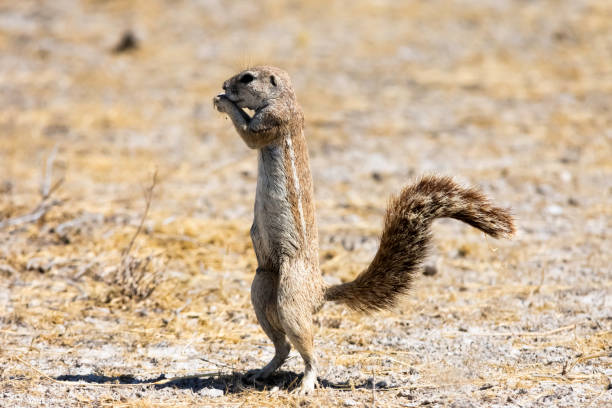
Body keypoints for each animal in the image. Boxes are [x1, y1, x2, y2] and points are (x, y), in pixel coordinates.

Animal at [213, 67, 512, 396]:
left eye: (247, 77)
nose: (225, 84)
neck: (286, 99)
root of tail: (320, 291)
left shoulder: (274, 119)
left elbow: (250, 134)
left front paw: (224, 102)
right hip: (262, 285)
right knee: (283, 347)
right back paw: (262, 372)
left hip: (290, 293)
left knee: (306, 348)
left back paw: (306, 384)